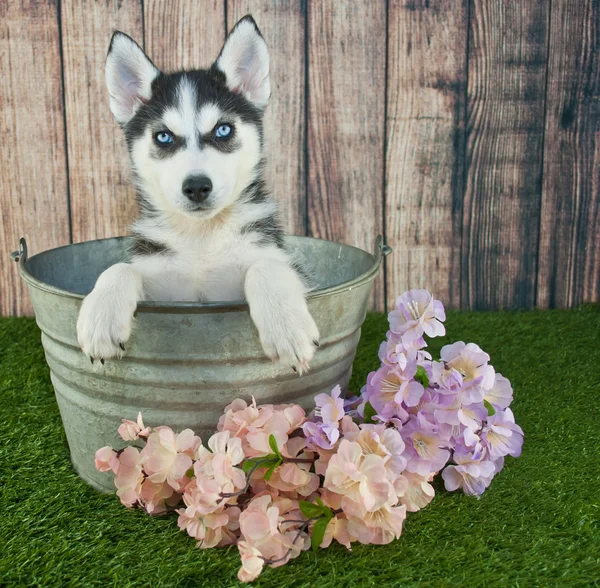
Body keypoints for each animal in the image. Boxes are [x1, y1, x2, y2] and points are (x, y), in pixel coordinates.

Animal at [78, 16, 322, 374]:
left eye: (223, 129)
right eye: (164, 137)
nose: (196, 187)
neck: (201, 237)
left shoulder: (285, 265)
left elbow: (265, 267)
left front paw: (287, 327)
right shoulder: (165, 289)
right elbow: (121, 268)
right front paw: (100, 318)